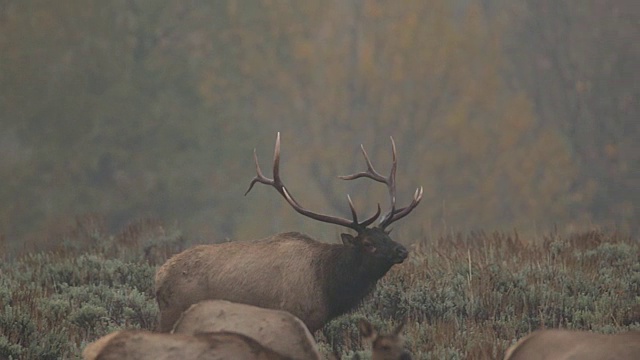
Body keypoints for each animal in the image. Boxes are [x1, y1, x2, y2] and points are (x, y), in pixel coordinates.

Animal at [156, 134, 422, 334]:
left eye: (386, 236)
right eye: (368, 243)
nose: (401, 250)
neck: (328, 286)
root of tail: (159, 277)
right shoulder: (296, 316)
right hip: (172, 314)